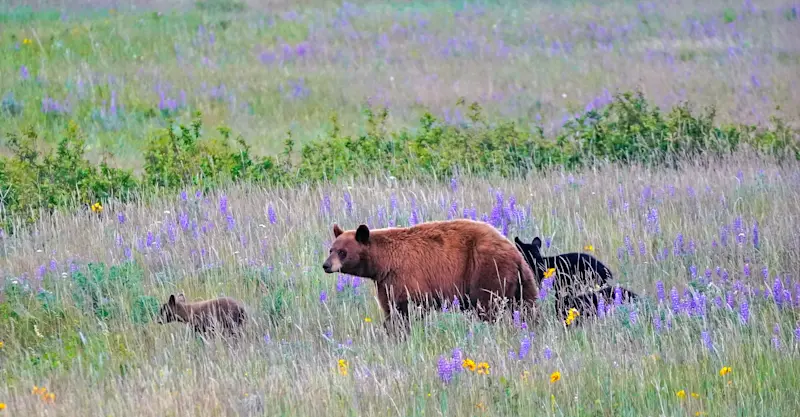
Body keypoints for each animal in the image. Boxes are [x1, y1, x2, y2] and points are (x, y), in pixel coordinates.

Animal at [322, 219, 539, 334]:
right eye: (331, 249)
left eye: (342, 252)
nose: (326, 265)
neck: (383, 263)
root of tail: (514, 254)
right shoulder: (385, 282)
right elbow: (390, 307)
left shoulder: (405, 276)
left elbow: (404, 308)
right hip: (522, 281)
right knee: (528, 307)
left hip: (487, 271)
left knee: (488, 306)